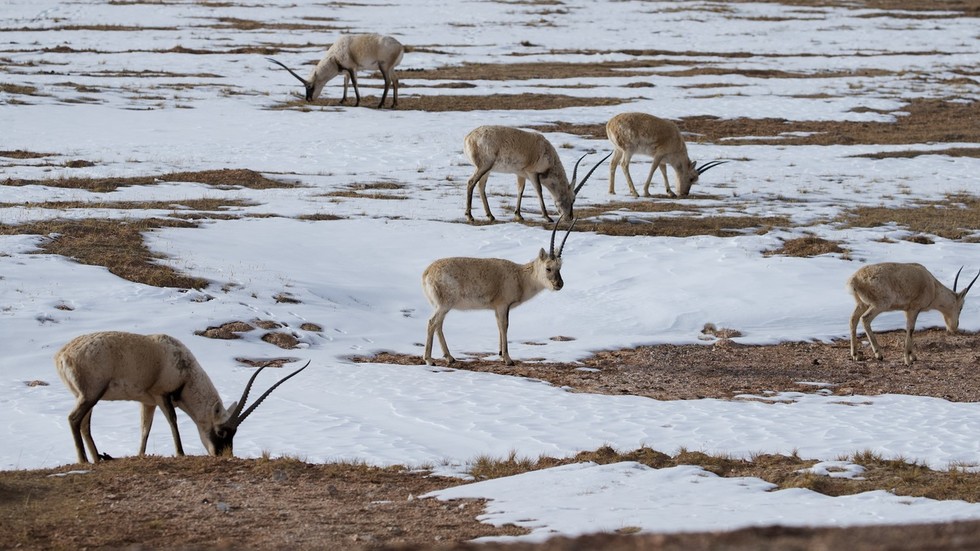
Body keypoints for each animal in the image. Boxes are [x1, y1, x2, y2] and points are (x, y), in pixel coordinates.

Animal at [55, 331, 309, 463]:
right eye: (221, 433)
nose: (222, 455)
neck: (187, 370)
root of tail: (61, 356)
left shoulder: (147, 402)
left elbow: (145, 428)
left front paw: (140, 454)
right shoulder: (161, 395)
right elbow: (173, 421)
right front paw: (180, 453)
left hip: (89, 397)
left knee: (84, 424)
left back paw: (97, 458)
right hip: (91, 394)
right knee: (74, 419)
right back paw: (84, 460)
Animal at [267, 33, 404, 108]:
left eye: (310, 86)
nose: (308, 99)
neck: (334, 55)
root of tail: (400, 46)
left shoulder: (351, 68)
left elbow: (354, 83)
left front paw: (357, 102)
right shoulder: (347, 71)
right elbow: (345, 83)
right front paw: (342, 100)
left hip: (384, 67)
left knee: (388, 82)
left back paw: (381, 104)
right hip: (391, 68)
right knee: (395, 80)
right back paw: (394, 104)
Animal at [423, 220, 578, 367]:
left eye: (560, 267)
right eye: (548, 268)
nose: (559, 284)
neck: (520, 276)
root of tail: (427, 272)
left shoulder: (498, 308)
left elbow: (499, 325)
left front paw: (500, 354)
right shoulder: (503, 305)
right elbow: (504, 326)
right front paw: (508, 359)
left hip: (442, 306)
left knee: (438, 325)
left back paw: (449, 357)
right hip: (444, 305)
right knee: (432, 323)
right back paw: (429, 360)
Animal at [463, 125, 610, 223]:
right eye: (573, 199)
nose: (569, 217)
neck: (548, 153)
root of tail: (468, 137)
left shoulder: (521, 174)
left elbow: (520, 190)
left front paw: (518, 215)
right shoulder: (532, 173)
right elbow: (539, 190)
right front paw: (547, 217)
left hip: (487, 170)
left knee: (481, 186)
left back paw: (490, 215)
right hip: (484, 166)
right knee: (471, 182)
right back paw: (470, 216)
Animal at [847, 263, 979, 366]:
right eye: (961, 307)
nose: (954, 327)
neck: (933, 286)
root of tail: (854, 280)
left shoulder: (908, 311)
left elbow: (910, 330)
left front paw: (913, 356)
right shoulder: (913, 309)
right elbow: (910, 329)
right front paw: (908, 360)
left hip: (862, 304)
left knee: (853, 319)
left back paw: (856, 355)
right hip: (879, 305)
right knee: (865, 319)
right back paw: (878, 354)